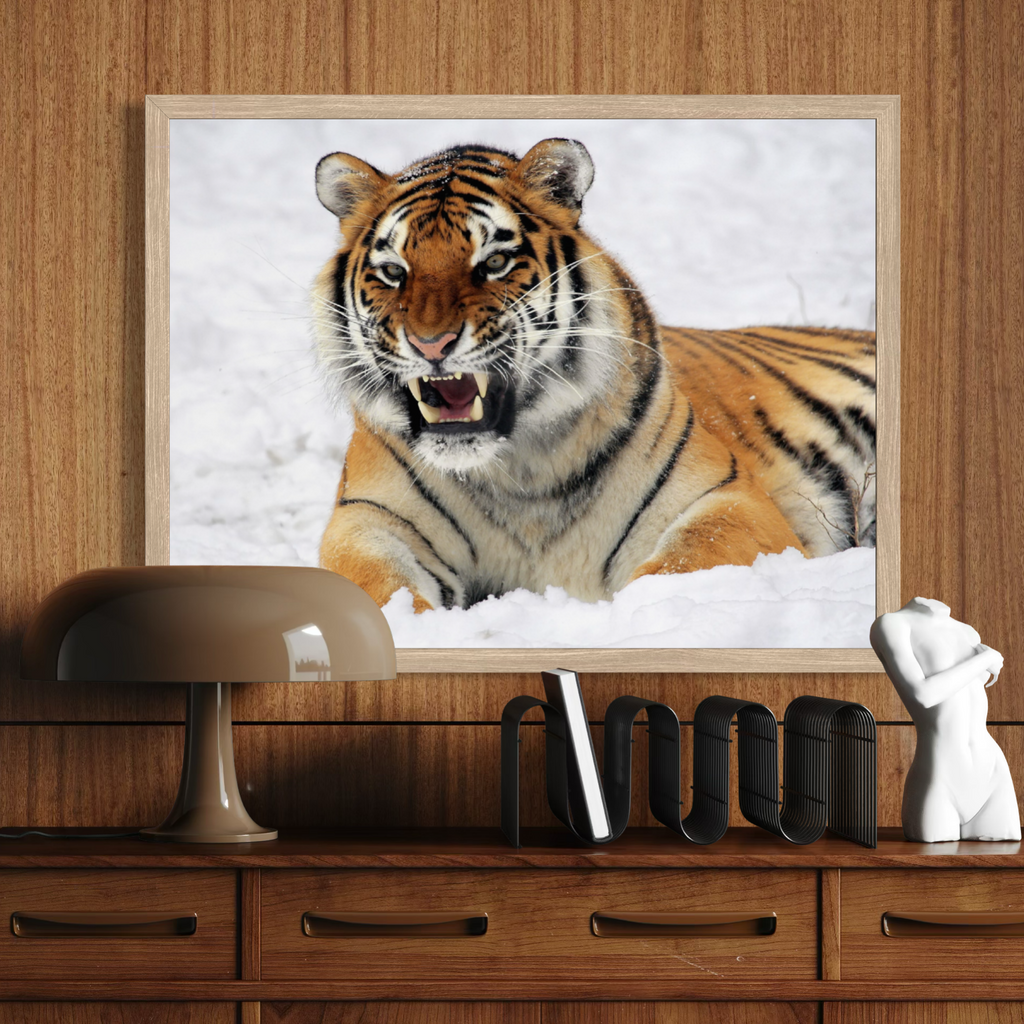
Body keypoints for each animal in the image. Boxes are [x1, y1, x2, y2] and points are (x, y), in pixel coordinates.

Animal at [310, 138, 876, 612]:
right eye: (393, 271)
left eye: (493, 262)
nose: (431, 344)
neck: (518, 473)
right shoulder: (367, 518)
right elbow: (379, 589)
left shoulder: (727, 499)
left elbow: (680, 565)